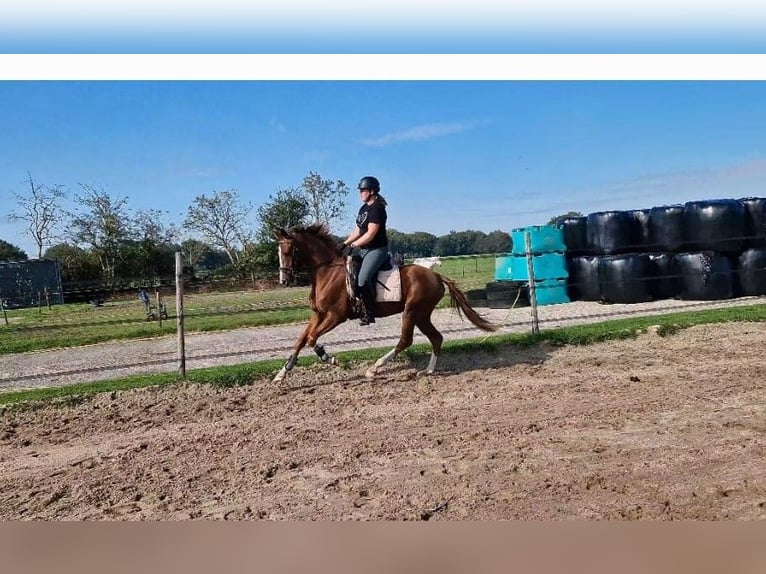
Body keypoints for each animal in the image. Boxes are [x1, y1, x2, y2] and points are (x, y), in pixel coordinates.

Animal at [272, 227, 500, 384]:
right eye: (279, 251)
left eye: (289, 251)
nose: (284, 280)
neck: (327, 271)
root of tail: (435, 275)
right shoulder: (318, 315)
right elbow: (301, 340)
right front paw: (282, 373)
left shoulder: (335, 316)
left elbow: (312, 339)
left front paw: (330, 358)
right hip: (422, 315)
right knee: (436, 338)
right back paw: (428, 370)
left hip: (412, 311)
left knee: (406, 340)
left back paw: (375, 368)